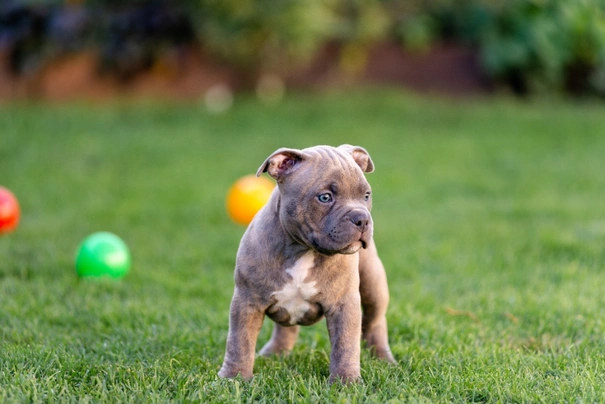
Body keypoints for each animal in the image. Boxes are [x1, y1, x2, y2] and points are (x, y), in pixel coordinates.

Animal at [219, 144, 394, 382]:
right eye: (325, 197)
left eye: (366, 195)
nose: (362, 219)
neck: (303, 250)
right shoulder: (247, 302)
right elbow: (239, 342)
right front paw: (233, 377)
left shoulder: (344, 305)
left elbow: (345, 346)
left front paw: (345, 381)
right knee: (286, 328)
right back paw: (275, 353)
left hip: (372, 283)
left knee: (375, 321)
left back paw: (384, 359)